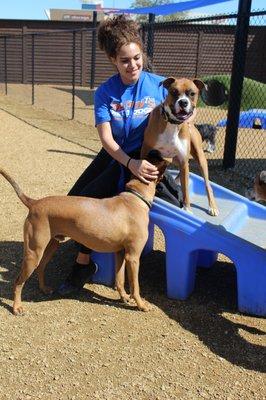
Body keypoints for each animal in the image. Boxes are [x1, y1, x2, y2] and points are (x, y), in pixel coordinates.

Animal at [0, 151, 168, 316]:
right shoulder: (133, 257)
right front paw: (141, 305)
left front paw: (124, 297)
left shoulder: (120, 253)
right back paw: (16, 307)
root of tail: (34, 203)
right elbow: (135, 286)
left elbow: (120, 280)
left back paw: (44, 288)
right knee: (18, 281)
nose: (163, 156)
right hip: (33, 253)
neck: (134, 198)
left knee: (40, 268)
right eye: (155, 160)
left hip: (50, 246)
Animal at [141, 77, 218, 217]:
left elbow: (186, 188)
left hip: (200, 159)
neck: (173, 124)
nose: (183, 102)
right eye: (174, 92)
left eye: (192, 93)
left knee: (207, 185)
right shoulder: (145, 151)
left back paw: (213, 207)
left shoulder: (183, 162)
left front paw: (187, 209)